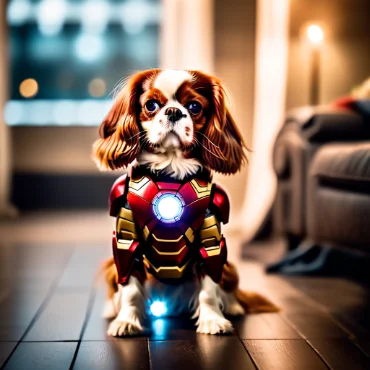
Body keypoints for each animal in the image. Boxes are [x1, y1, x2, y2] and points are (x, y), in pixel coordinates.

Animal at [92, 68, 278, 336]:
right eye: (151, 105)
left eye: (194, 106)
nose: (173, 111)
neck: (171, 168)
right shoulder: (127, 241)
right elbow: (130, 286)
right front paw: (126, 321)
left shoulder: (210, 240)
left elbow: (209, 284)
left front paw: (213, 320)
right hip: (111, 267)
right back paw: (112, 309)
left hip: (230, 266)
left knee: (228, 285)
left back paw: (233, 307)